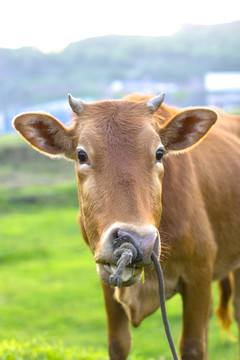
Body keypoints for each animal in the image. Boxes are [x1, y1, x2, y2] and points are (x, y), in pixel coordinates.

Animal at [13, 93, 240, 360]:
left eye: (159, 153)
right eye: (81, 155)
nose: (137, 241)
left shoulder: (198, 276)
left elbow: (193, 346)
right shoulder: (106, 275)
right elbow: (118, 343)